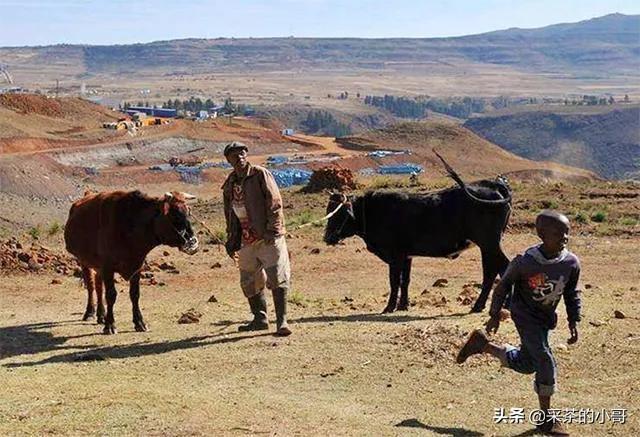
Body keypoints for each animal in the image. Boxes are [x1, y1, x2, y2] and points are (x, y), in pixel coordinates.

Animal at [65, 188, 198, 334]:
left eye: (188, 212)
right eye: (175, 214)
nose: (193, 242)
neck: (130, 226)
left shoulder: (136, 266)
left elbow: (135, 294)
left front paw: (139, 322)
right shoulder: (107, 267)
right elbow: (111, 295)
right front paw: (110, 325)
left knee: (99, 287)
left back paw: (101, 315)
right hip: (83, 261)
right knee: (91, 286)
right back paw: (90, 313)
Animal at [322, 153, 512, 314]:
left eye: (339, 213)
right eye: (329, 210)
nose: (327, 237)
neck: (372, 211)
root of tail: (494, 185)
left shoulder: (395, 256)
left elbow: (394, 281)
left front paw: (389, 307)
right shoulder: (407, 256)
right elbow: (405, 281)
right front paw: (403, 305)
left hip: (489, 243)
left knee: (500, 268)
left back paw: (488, 305)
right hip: (488, 246)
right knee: (493, 270)